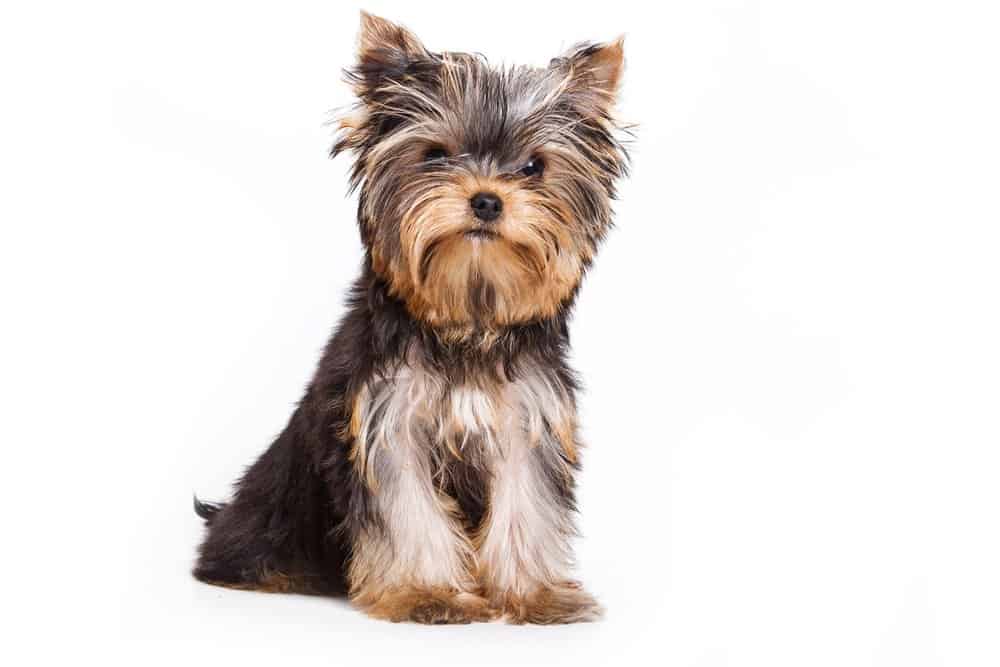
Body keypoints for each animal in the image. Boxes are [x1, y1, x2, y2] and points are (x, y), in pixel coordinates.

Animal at [192, 11, 628, 628]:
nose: (488, 200)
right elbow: (408, 507)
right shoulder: (386, 421)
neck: (466, 321)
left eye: (533, 167)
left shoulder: (528, 421)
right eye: (436, 155)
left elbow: (528, 502)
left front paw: (534, 594)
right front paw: (429, 592)